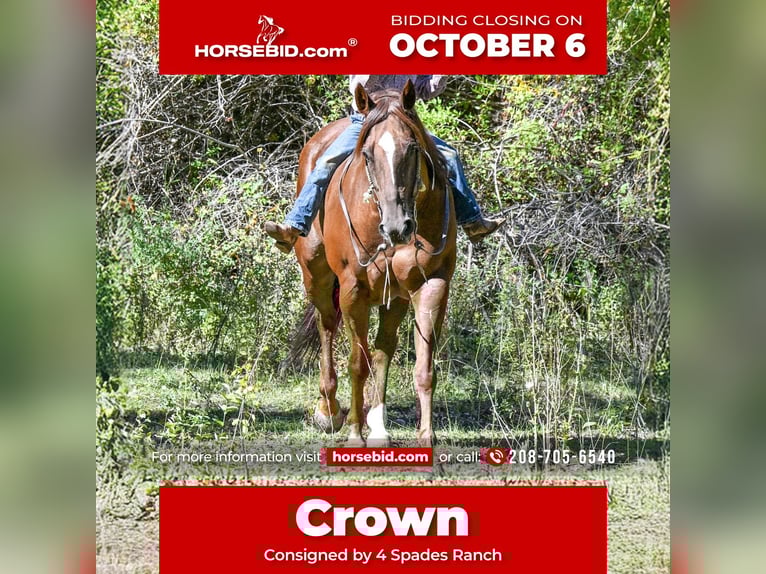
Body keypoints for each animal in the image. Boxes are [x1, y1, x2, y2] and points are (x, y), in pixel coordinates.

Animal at [292, 80, 457, 447]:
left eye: (412, 148)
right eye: (367, 155)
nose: (397, 226)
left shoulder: (432, 285)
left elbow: (424, 367)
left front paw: (426, 435)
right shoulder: (353, 289)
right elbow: (357, 363)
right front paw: (355, 434)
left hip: (393, 296)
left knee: (383, 350)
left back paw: (378, 426)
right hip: (318, 278)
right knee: (327, 327)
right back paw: (329, 411)